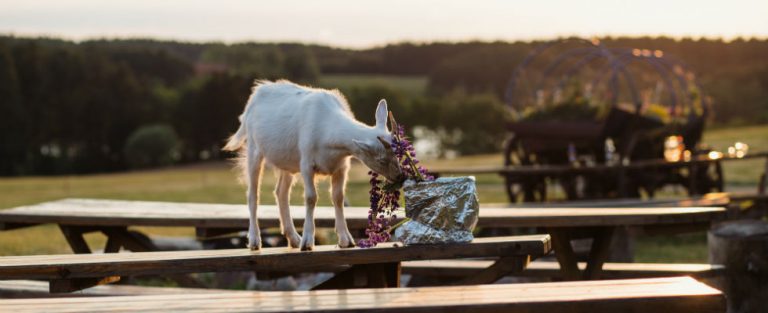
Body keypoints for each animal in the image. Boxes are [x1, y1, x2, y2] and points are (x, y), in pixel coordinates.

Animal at [222, 79, 402, 250]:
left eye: (397, 154)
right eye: (381, 160)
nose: (400, 176)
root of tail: (256, 95)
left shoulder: (341, 167)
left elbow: (338, 197)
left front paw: (346, 240)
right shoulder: (306, 164)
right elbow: (311, 197)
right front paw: (308, 242)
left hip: (287, 161)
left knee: (281, 192)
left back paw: (294, 239)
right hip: (254, 149)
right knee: (253, 194)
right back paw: (255, 241)